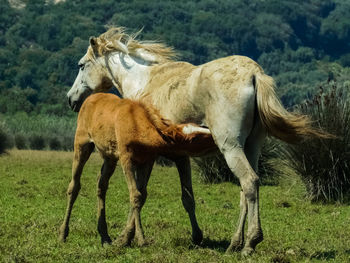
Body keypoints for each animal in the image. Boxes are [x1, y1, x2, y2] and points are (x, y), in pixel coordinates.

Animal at [65, 27, 326, 256]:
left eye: (81, 65)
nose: (70, 99)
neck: (143, 83)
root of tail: (254, 74)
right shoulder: (181, 157)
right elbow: (186, 198)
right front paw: (196, 237)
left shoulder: (147, 155)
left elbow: (140, 193)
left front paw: (125, 238)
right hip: (251, 147)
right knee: (246, 189)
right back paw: (235, 244)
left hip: (230, 148)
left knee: (250, 182)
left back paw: (251, 243)